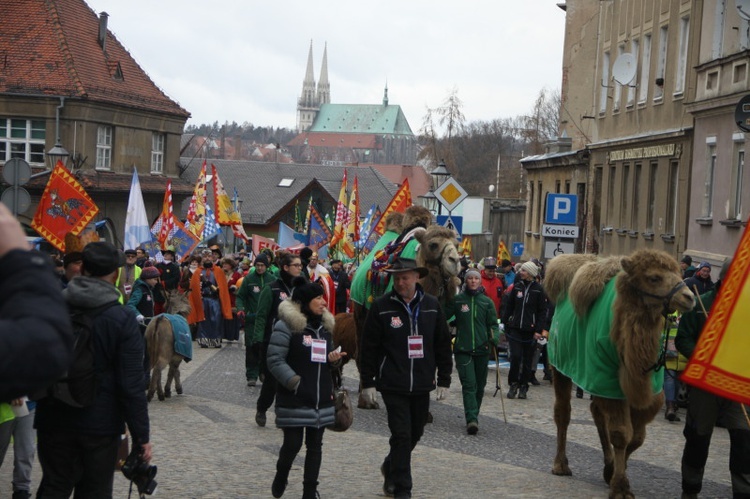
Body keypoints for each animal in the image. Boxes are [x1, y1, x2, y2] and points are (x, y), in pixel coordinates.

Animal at [548, 252, 700, 498]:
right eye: (654, 277)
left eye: (678, 273)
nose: (688, 297)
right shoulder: (607, 381)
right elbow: (621, 434)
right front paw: (620, 487)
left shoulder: (647, 390)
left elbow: (636, 437)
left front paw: (611, 472)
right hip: (561, 368)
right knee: (563, 412)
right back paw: (561, 465)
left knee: (596, 411)